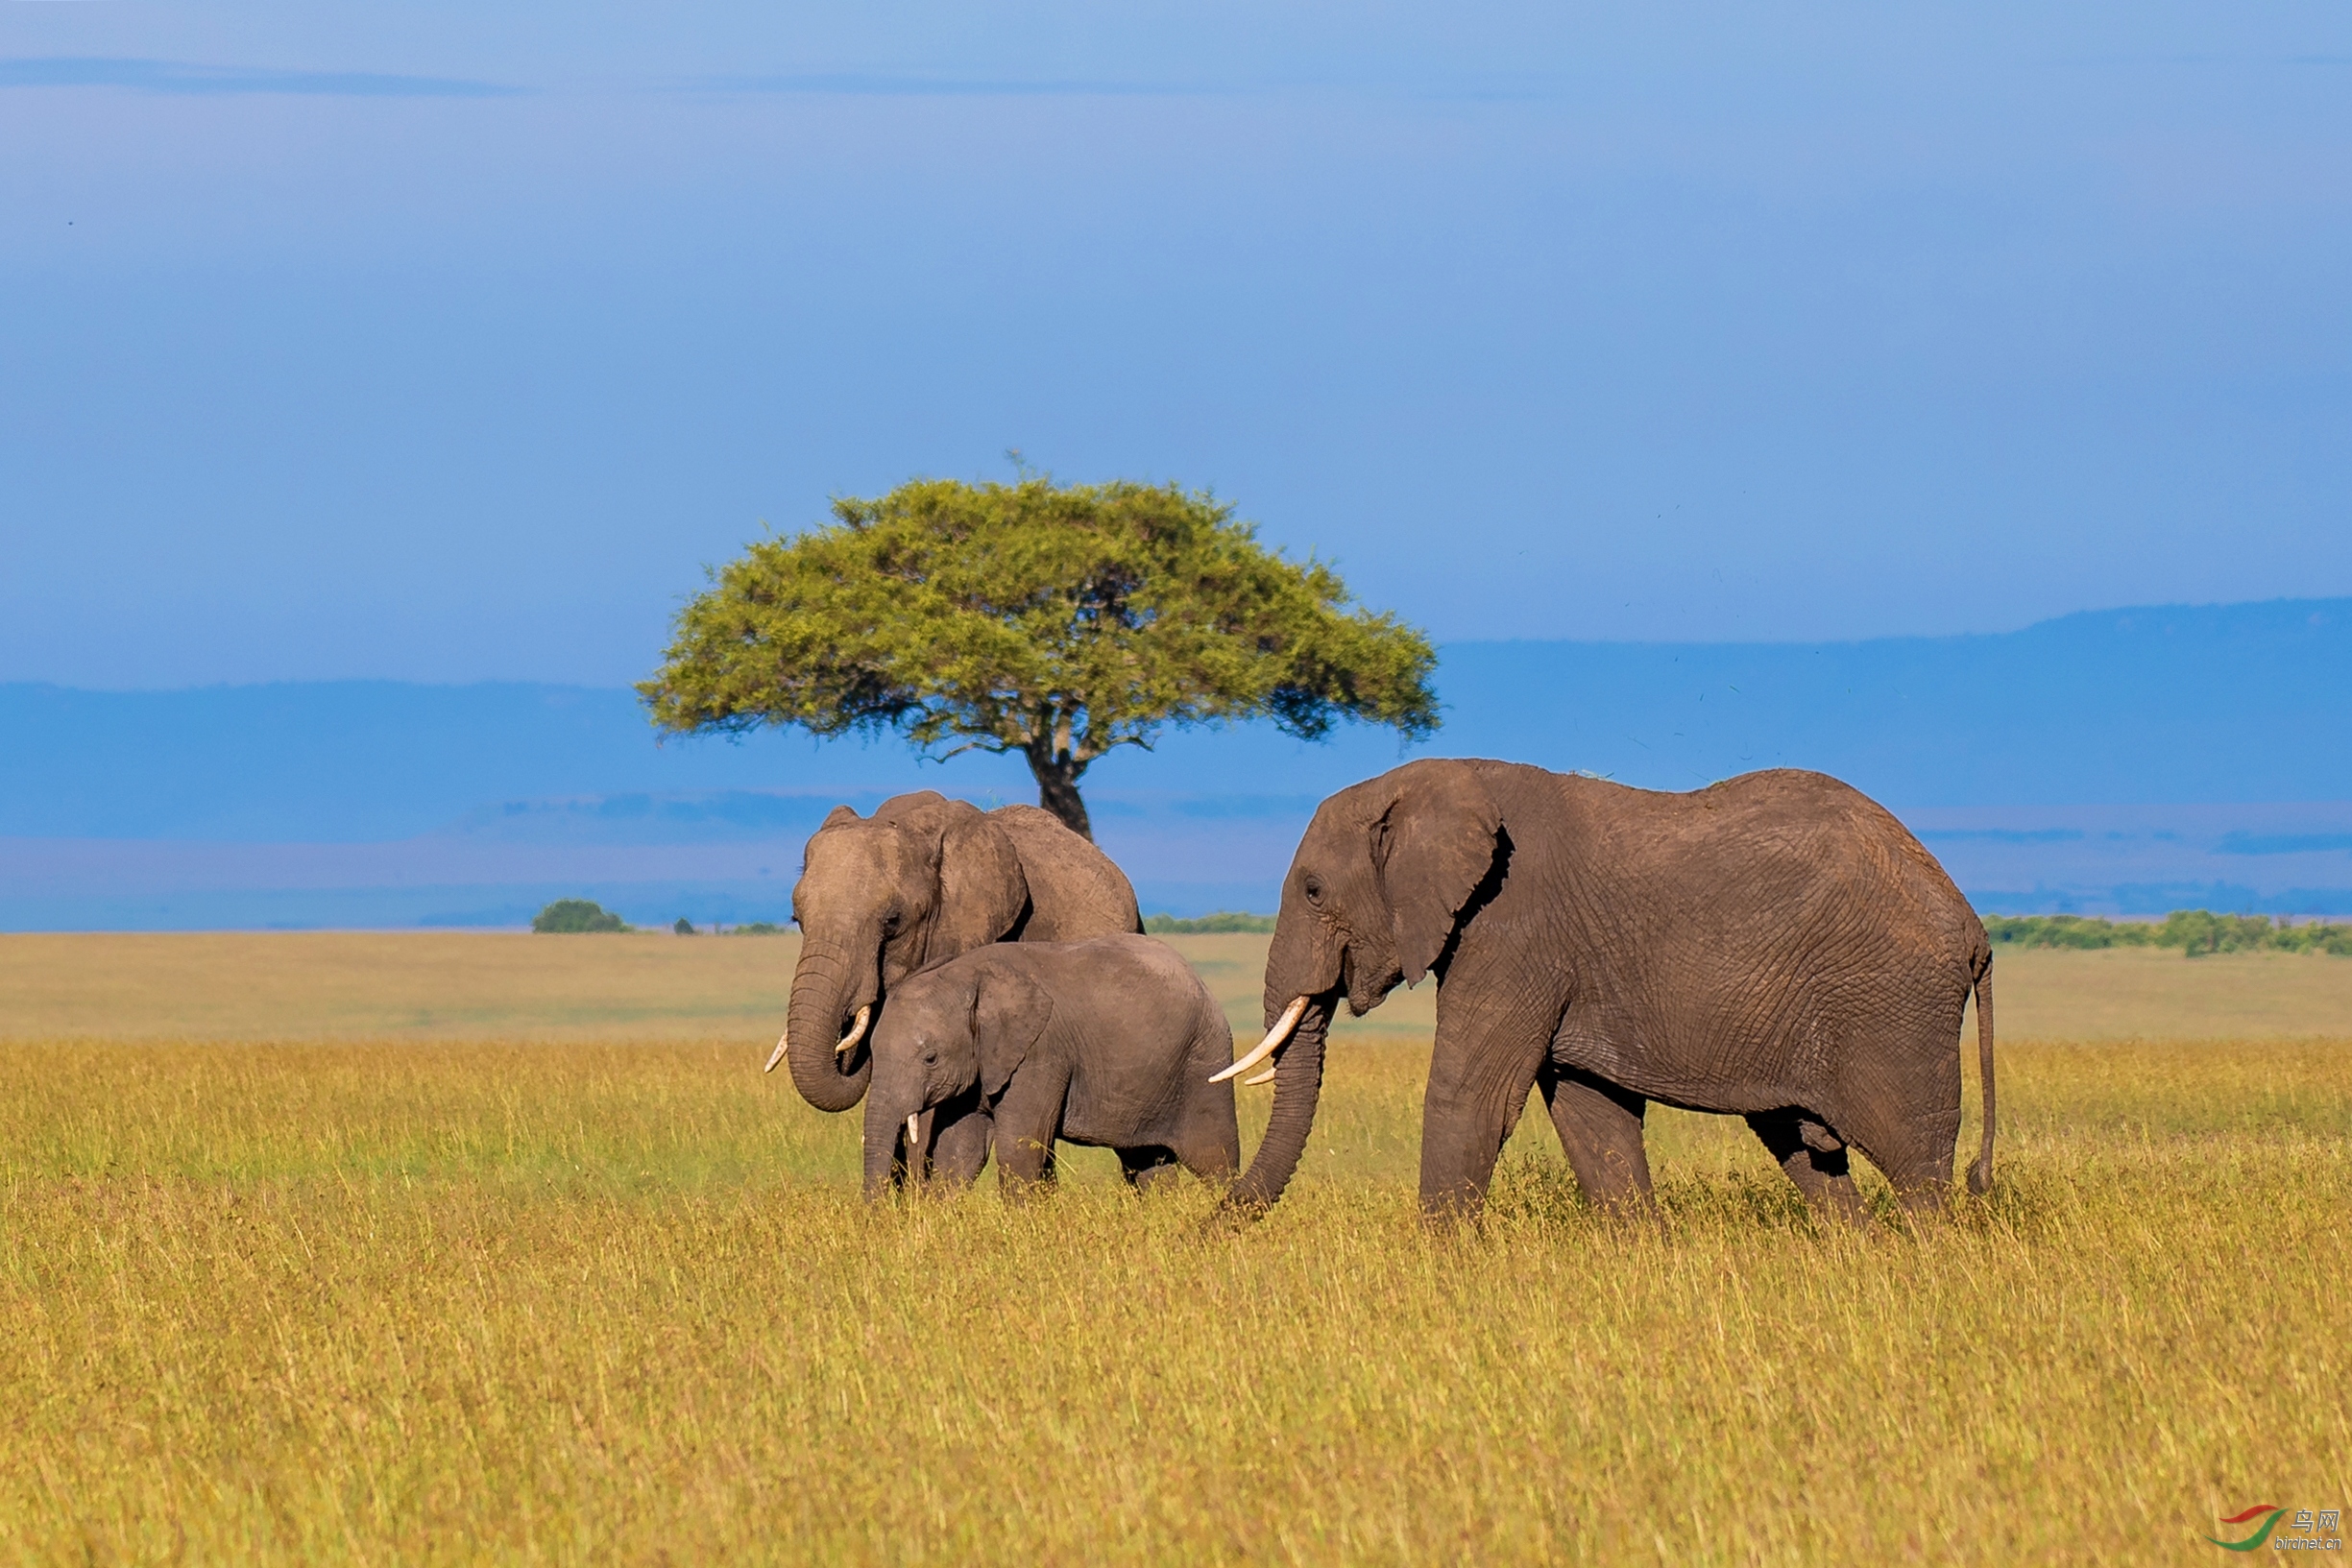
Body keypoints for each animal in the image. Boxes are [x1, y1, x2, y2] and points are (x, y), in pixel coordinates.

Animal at [861, 940, 1232, 1194]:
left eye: (931, 1058)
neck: (968, 973)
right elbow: (959, 1152)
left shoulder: (1041, 1053)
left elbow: (1019, 1149)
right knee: (1148, 1163)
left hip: (1203, 1063)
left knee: (1214, 1160)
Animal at [1223, 761, 1994, 1222]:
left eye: (1313, 890)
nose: (1211, 1224)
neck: (1439, 780)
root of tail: (1971, 923)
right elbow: (1591, 1114)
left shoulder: (1513, 929)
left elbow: (1471, 1096)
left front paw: (1442, 1267)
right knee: (1810, 1156)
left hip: (1893, 1008)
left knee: (1915, 1165)